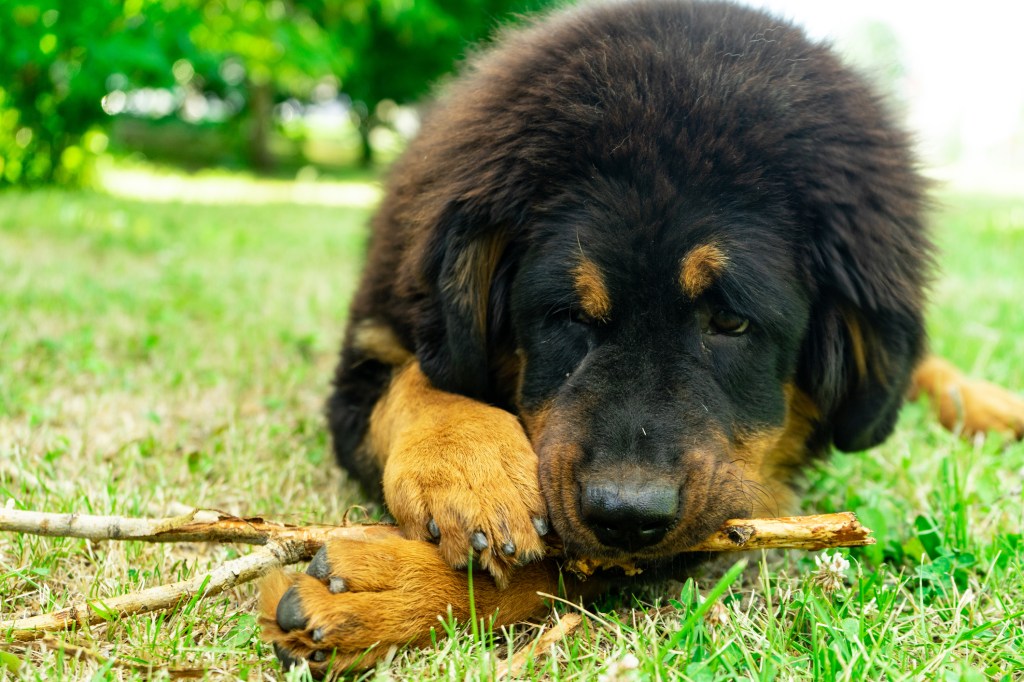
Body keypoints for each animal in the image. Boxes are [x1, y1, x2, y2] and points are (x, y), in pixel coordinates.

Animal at [260, 0, 1019, 667]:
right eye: (568, 315)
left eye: (732, 321)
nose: (626, 511)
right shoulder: (374, 345)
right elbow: (416, 385)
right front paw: (469, 466)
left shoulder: (727, 496)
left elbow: (576, 561)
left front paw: (382, 591)